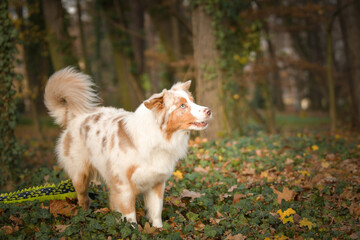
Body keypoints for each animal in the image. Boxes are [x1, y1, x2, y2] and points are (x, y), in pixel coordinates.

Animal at [45, 67, 212, 227]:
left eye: (192, 101)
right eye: (182, 105)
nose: (209, 110)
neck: (158, 138)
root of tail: (75, 116)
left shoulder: (157, 183)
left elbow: (156, 212)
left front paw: (158, 230)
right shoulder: (124, 186)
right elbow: (130, 217)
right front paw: (133, 231)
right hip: (80, 174)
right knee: (83, 198)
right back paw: (84, 217)